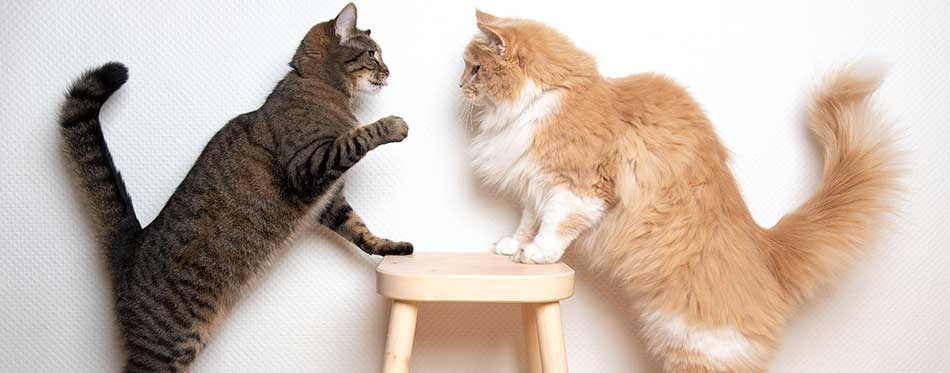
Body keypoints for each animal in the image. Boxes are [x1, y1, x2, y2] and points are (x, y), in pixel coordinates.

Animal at [55, 3, 408, 372]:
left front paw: (391, 247)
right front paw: (393, 125)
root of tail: (131, 242)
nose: (389, 70)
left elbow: (359, 230)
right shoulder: (308, 167)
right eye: (372, 54)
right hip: (167, 343)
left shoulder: (330, 202)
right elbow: (357, 137)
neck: (318, 85)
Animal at [464, 10, 904, 370]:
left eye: (474, 69)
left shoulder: (578, 187)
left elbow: (555, 226)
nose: (459, 85)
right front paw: (513, 246)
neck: (549, 96)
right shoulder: (534, 185)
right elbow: (528, 221)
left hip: (699, 348)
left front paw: (537, 255)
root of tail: (766, 247)